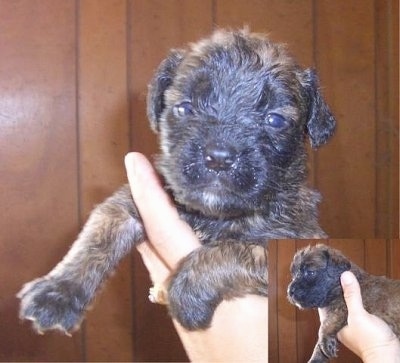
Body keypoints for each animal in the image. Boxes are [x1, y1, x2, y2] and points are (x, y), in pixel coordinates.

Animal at [20, 28, 336, 336]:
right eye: (185, 108)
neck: (213, 216)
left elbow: (237, 251)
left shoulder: (289, 241)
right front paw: (58, 292)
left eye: (275, 120)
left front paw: (187, 292)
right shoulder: (129, 203)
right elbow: (97, 238)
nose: (218, 158)